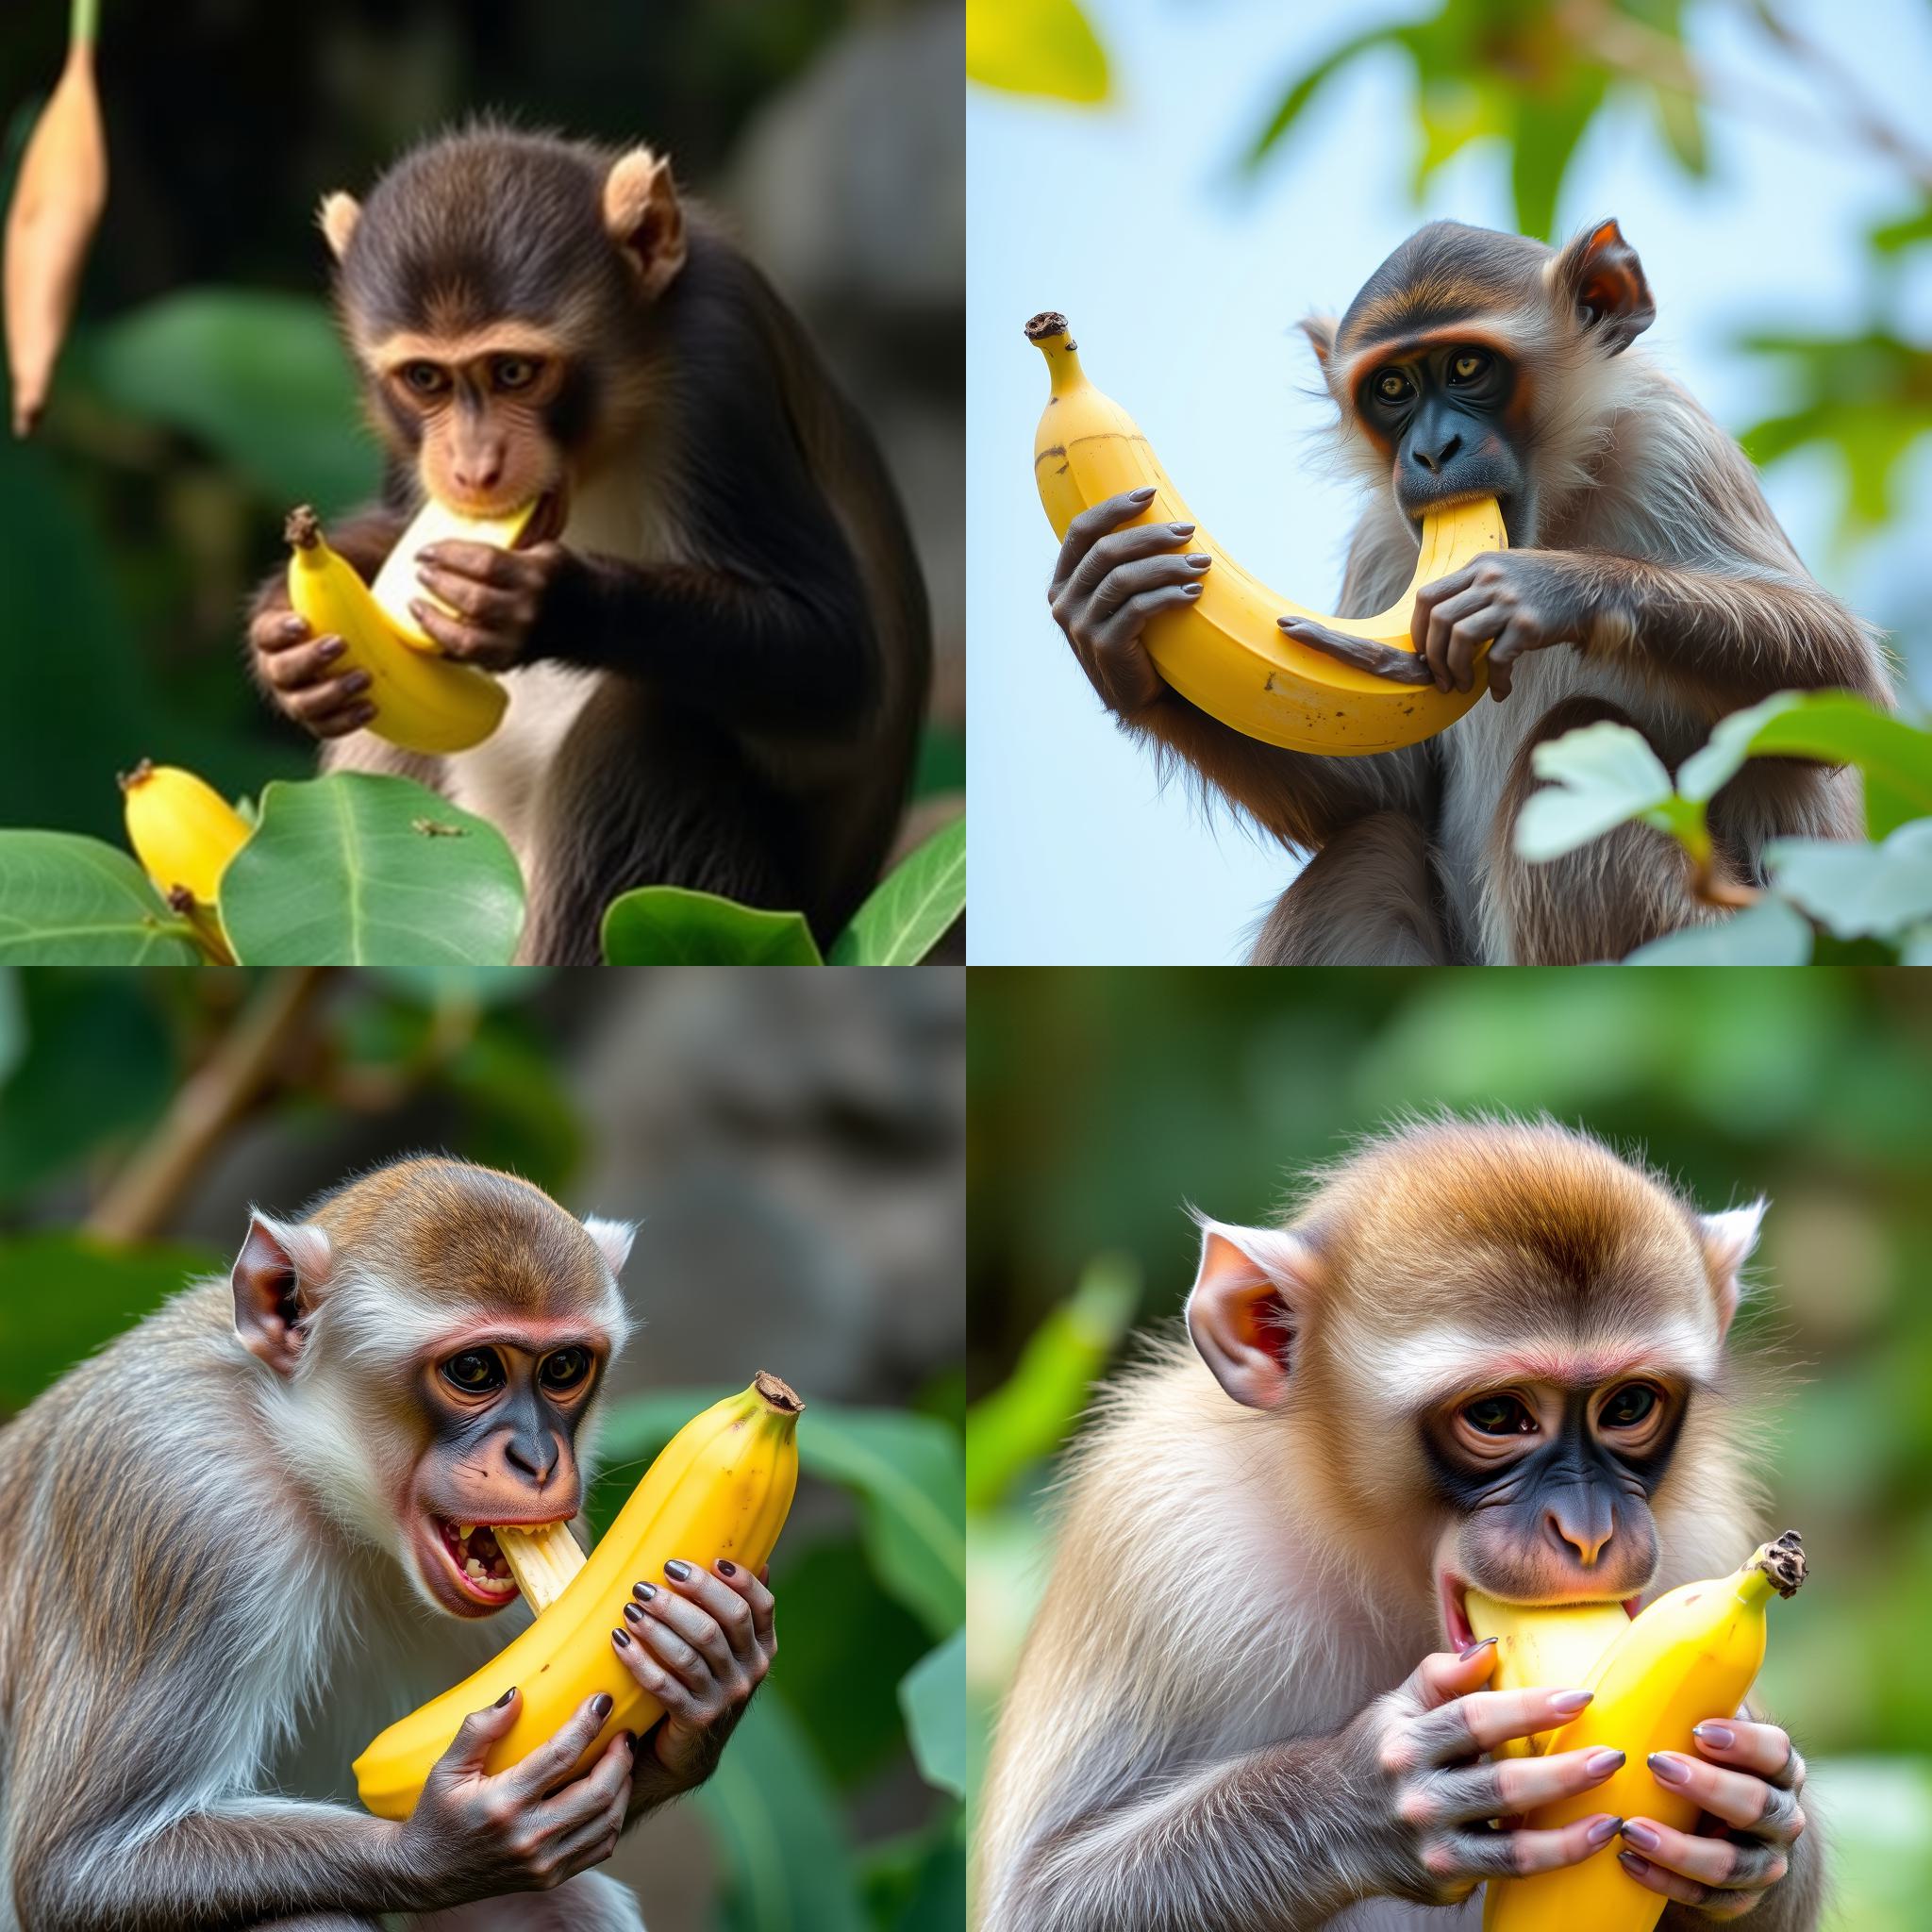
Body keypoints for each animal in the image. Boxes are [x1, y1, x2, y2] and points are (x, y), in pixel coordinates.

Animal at [4, 1151, 784, 1924]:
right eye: (475, 1369)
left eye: (563, 1368)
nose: (537, 1460)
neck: (319, 1485)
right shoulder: (187, 1503)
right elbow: (77, 1870)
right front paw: (451, 1841)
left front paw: (707, 1682)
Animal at [239, 125, 927, 961]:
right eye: (427, 380)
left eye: (513, 372)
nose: (472, 468)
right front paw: (282, 639)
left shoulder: (719, 369)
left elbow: (842, 669)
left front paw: (551, 603)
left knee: (642, 725)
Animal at [989, 1120, 1816, 1932]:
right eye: (1497, 1416)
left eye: (1629, 1406)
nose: (1588, 1532)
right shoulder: (1161, 1526)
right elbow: (1039, 1898)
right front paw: (1371, 1796)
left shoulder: (1704, 1527)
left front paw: (1753, 1805)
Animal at [1051, 219, 1893, 966]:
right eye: (1393, 386)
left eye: (1465, 368)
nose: (1431, 451)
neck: (1557, 506)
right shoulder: (1386, 534)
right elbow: (1381, 792)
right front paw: (1112, 614)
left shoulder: (1672, 443)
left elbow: (1843, 683)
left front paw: (1541, 590)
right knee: (1370, 844)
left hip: (1739, 927)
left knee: (1572, 737)